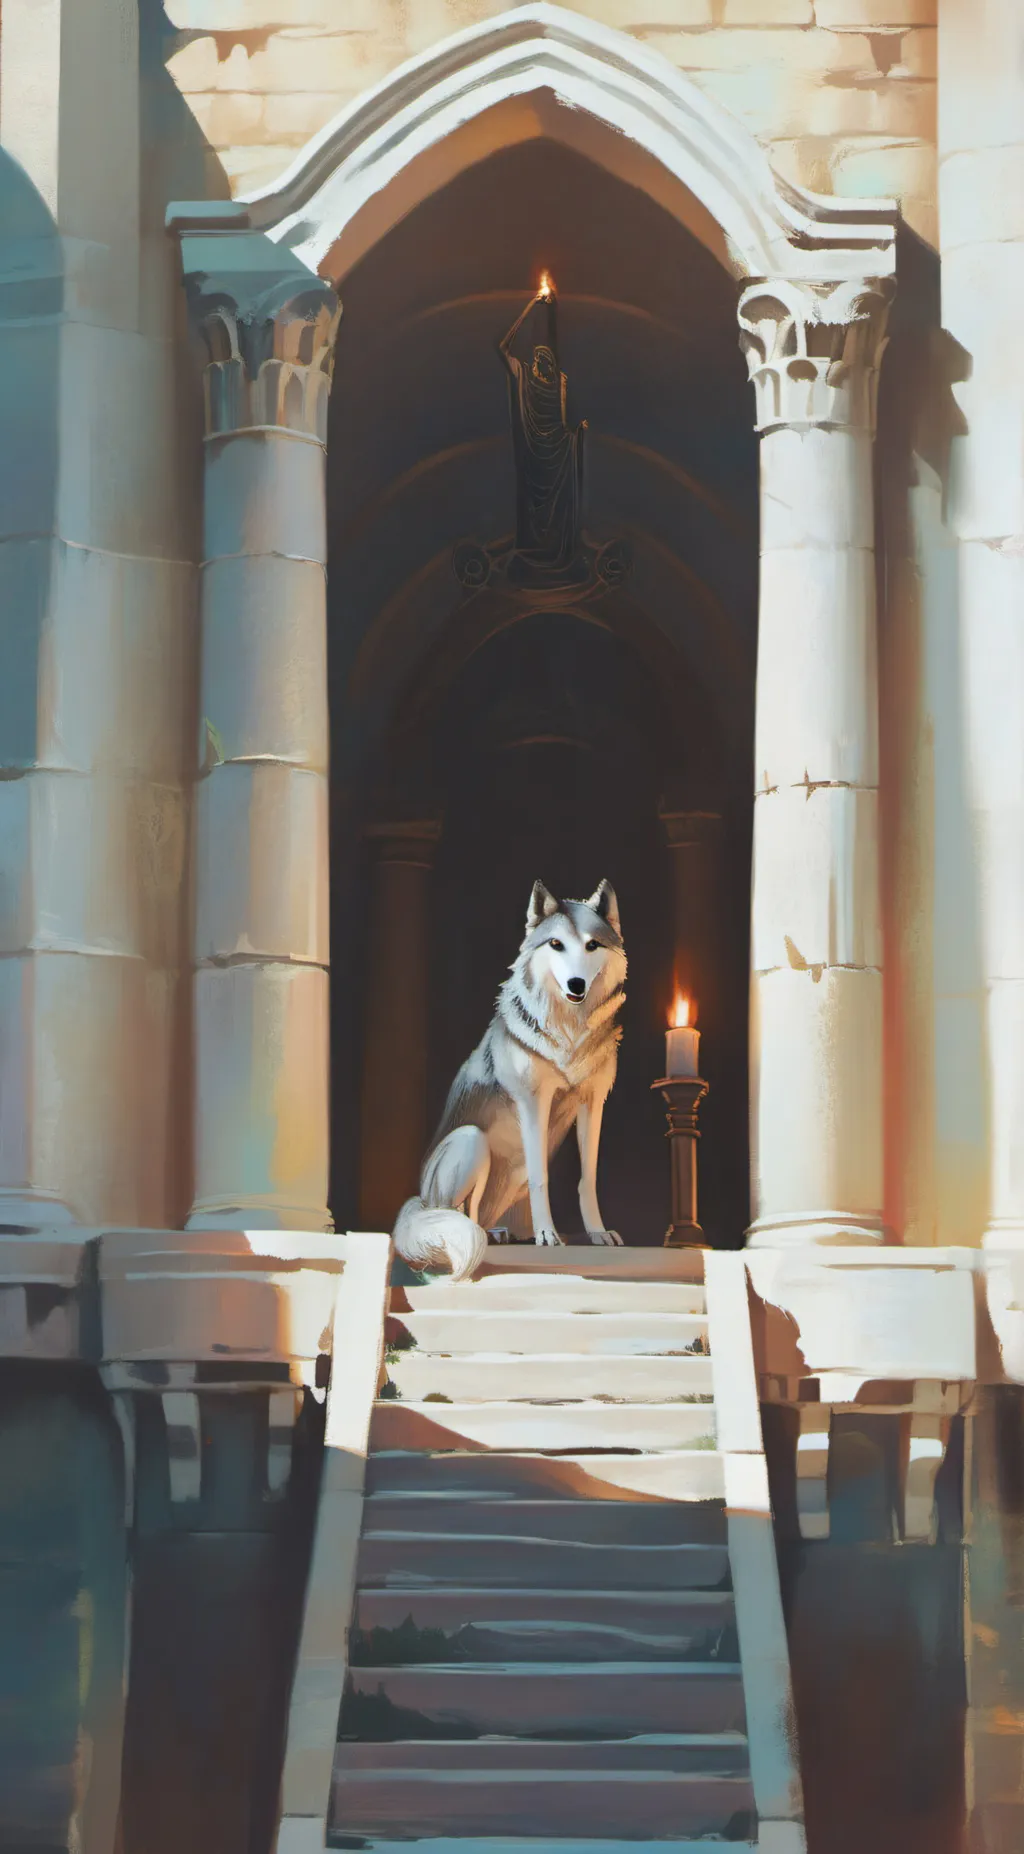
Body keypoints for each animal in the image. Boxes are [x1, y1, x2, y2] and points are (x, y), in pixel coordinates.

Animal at [393, 879, 627, 1279]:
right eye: (556, 944)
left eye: (592, 945)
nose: (576, 984)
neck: (569, 1033)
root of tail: (419, 1198)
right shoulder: (533, 1103)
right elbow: (541, 1179)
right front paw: (547, 1235)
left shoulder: (593, 1102)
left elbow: (588, 1177)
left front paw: (597, 1233)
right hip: (471, 1142)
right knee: (457, 1213)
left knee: (476, 1214)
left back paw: (498, 1233)